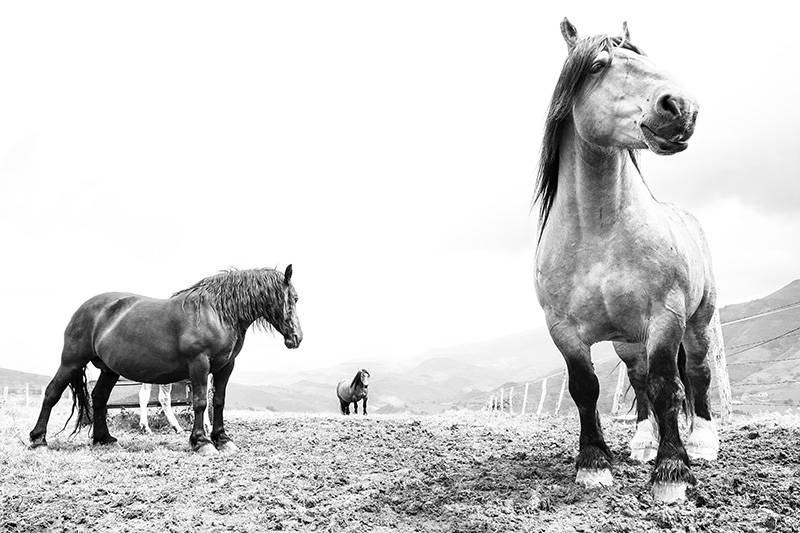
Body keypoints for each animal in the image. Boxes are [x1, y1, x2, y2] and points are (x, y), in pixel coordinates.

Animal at [29, 266, 302, 454]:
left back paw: (104, 439)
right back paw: (38, 440)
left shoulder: (225, 367)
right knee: (52, 393)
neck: (216, 313)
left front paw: (223, 439)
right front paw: (201, 442)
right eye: (295, 298)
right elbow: (201, 402)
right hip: (71, 361)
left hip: (109, 370)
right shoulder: (199, 364)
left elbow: (218, 402)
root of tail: (84, 309)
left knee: (99, 398)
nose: (296, 338)